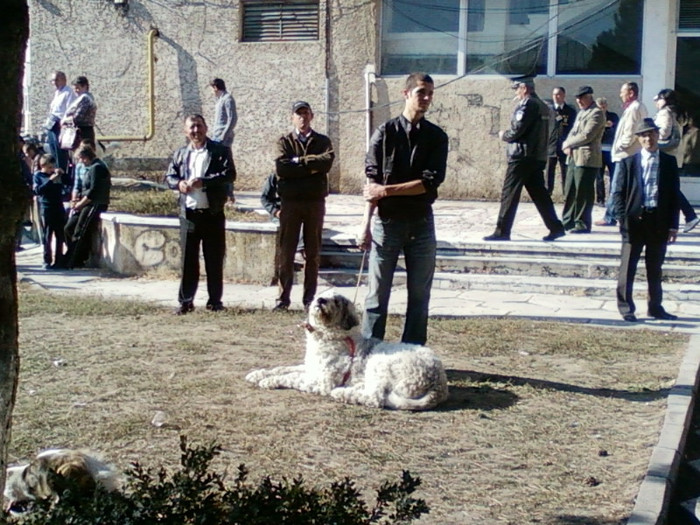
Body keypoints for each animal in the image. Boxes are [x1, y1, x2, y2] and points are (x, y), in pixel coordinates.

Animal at [246, 290, 448, 410]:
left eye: (336, 301)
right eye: (320, 294)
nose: (320, 300)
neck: (330, 336)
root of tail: (439, 383)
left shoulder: (323, 381)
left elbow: (291, 377)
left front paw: (269, 381)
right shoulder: (310, 368)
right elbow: (283, 369)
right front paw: (258, 374)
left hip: (380, 363)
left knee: (376, 398)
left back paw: (343, 393)